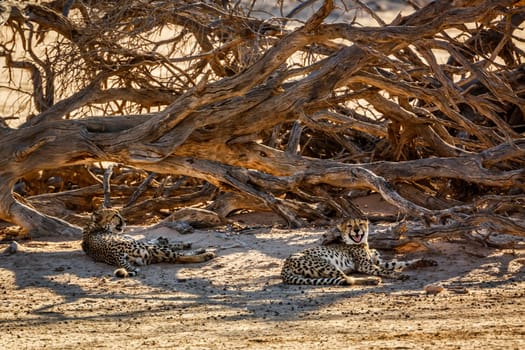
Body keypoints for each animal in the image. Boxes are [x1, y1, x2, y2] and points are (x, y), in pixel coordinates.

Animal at [80, 208, 215, 278]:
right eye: (115, 216)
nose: (125, 221)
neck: (94, 225)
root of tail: (115, 256)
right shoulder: (140, 242)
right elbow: (170, 244)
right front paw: (183, 244)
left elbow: (160, 241)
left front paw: (164, 238)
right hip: (150, 250)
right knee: (178, 257)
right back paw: (206, 254)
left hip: (150, 256)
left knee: (175, 257)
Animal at [280, 220, 436, 286]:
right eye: (350, 226)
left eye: (360, 224)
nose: (356, 231)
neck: (363, 242)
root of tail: (284, 266)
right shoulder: (364, 266)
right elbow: (386, 270)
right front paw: (399, 275)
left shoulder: (378, 261)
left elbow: (400, 262)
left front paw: (425, 261)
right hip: (326, 264)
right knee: (347, 279)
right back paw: (372, 280)